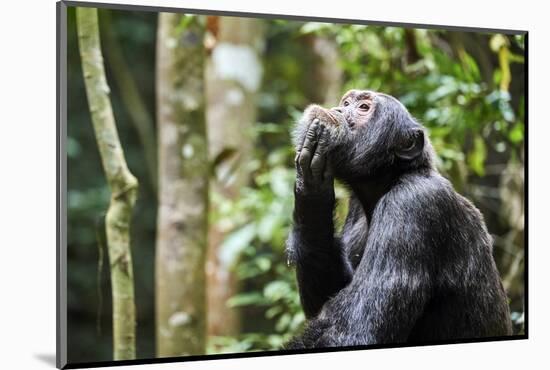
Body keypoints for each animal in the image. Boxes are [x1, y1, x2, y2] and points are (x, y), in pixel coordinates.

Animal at [286, 90, 516, 350]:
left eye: (363, 107)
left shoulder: (412, 204)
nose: (338, 109)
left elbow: (356, 330)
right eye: (346, 102)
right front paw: (310, 187)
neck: (389, 179)